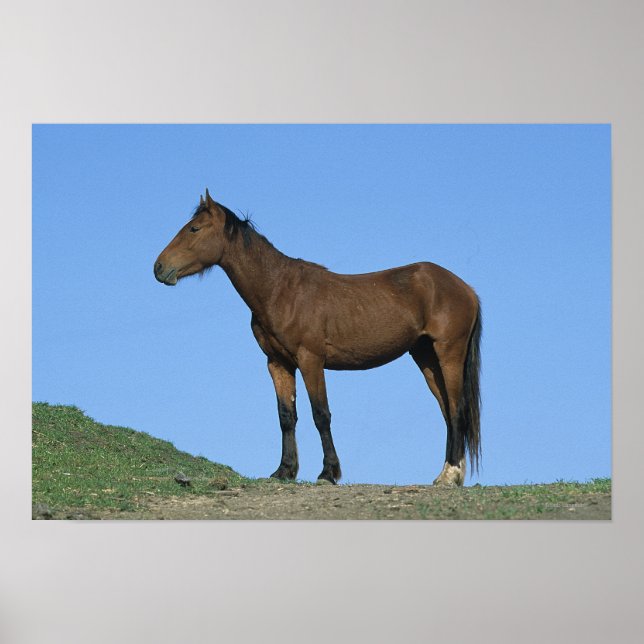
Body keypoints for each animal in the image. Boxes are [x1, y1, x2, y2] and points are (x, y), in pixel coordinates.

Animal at [154, 189, 482, 486]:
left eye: (194, 229)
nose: (159, 267)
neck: (279, 289)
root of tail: (465, 288)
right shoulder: (278, 363)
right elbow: (286, 416)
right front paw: (284, 471)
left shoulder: (310, 360)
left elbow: (320, 414)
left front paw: (328, 473)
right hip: (425, 357)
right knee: (447, 412)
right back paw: (447, 474)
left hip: (448, 354)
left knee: (456, 410)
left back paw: (450, 476)